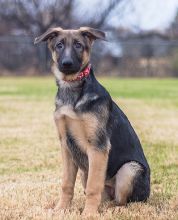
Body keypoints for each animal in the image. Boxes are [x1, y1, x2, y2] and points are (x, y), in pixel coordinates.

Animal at [34, 26, 149, 216]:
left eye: (78, 45)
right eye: (59, 45)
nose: (66, 64)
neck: (72, 90)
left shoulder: (97, 146)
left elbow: (93, 186)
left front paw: (88, 214)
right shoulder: (66, 146)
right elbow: (66, 184)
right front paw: (61, 209)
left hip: (130, 169)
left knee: (123, 202)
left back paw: (110, 209)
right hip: (84, 170)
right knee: (104, 196)